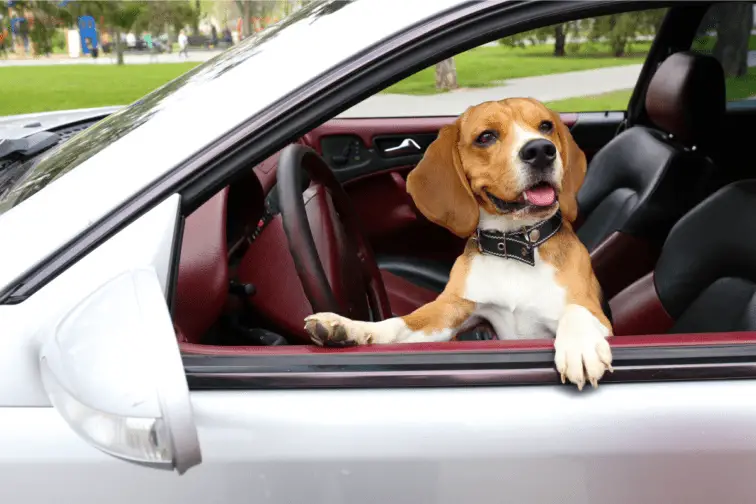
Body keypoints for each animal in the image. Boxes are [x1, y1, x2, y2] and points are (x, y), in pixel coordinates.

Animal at [304, 98, 612, 390]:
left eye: (546, 126)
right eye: (486, 137)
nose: (540, 150)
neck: (514, 246)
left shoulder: (597, 315)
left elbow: (576, 310)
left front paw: (580, 347)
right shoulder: (448, 312)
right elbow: (396, 324)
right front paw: (347, 327)